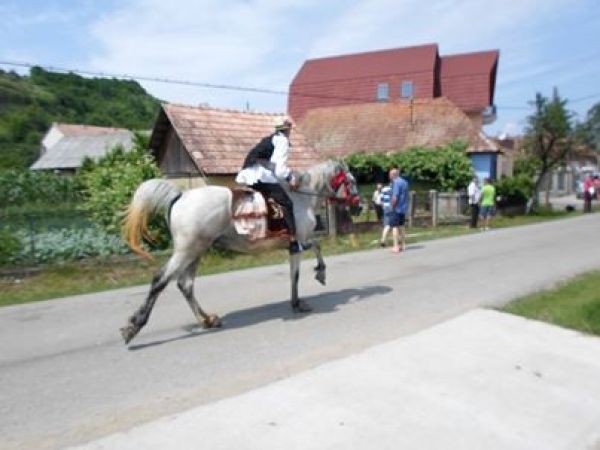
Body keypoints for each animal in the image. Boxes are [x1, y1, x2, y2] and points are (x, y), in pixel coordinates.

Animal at [120, 159, 361, 344]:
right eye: (352, 181)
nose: (359, 207)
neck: (302, 197)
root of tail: (180, 196)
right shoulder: (298, 243)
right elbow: (306, 262)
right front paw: (315, 280)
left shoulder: (295, 245)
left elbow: (300, 269)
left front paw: (301, 296)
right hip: (186, 251)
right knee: (160, 280)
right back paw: (134, 326)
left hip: (197, 250)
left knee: (185, 285)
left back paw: (207, 320)